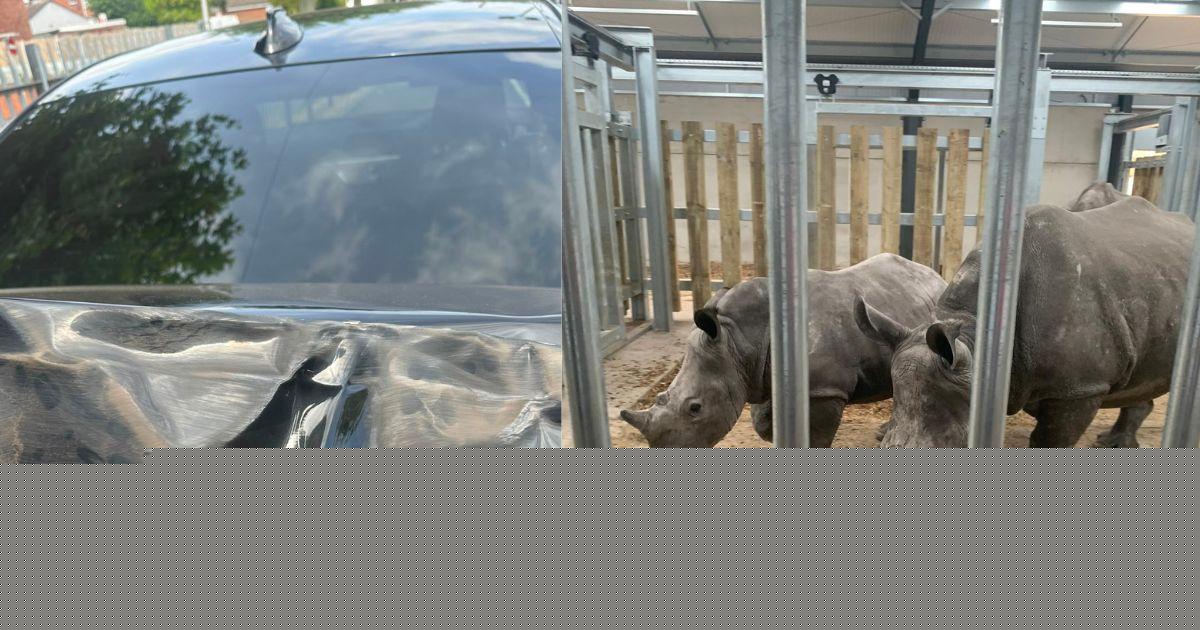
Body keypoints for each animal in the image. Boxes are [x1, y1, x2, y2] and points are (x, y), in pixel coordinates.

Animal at [619, 253, 946, 447]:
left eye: (695, 408)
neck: (737, 338)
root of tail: (933, 273)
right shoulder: (758, 372)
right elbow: (762, 421)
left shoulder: (824, 389)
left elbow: (818, 436)